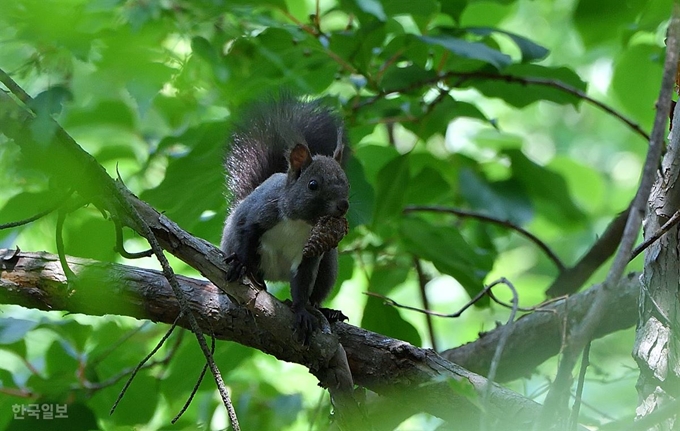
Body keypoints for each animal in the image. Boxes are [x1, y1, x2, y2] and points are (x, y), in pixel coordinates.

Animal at [220, 95, 350, 344]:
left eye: (347, 183)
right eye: (312, 185)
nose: (343, 205)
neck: (300, 223)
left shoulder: (310, 254)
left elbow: (302, 283)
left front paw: (300, 311)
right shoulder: (260, 213)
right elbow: (248, 233)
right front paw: (241, 264)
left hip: (328, 264)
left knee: (315, 292)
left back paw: (326, 311)